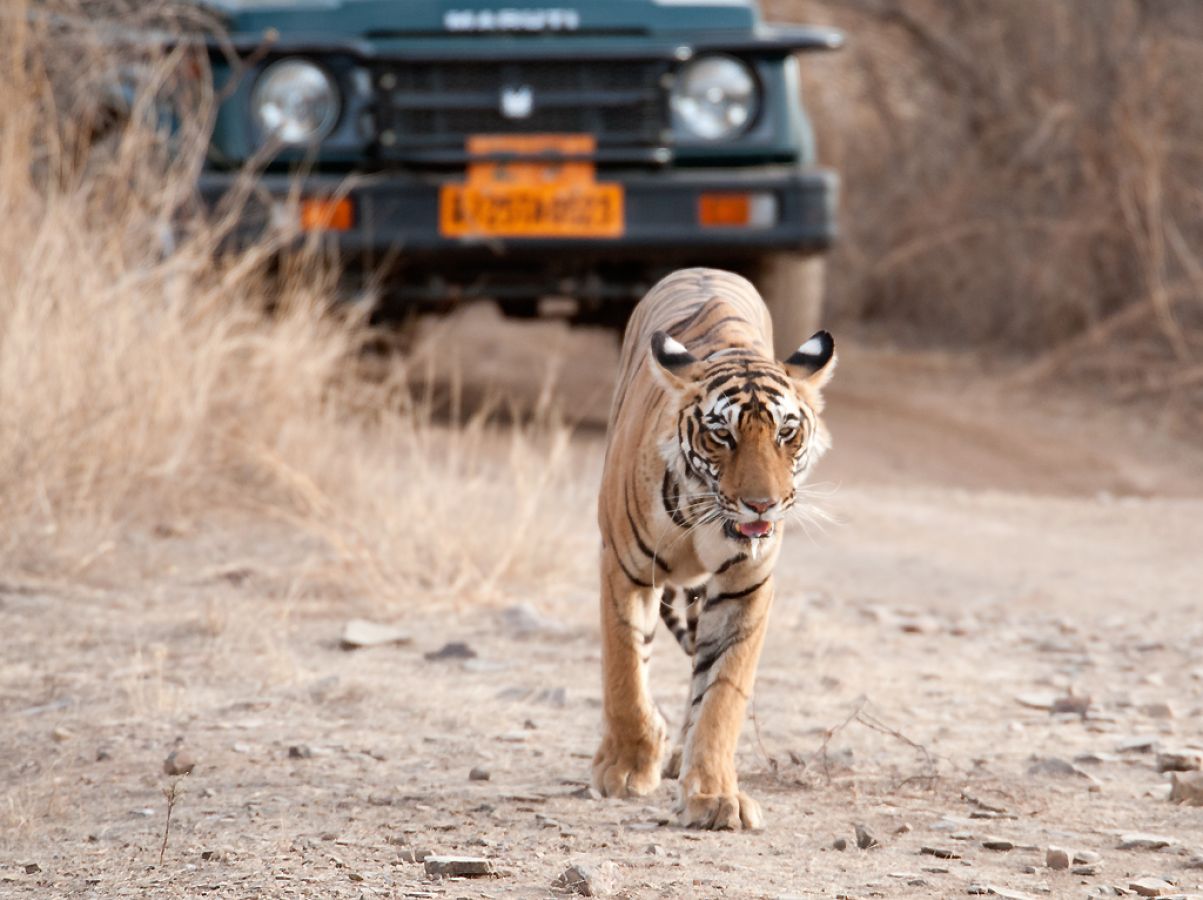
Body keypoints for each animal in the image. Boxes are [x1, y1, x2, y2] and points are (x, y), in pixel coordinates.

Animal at [591, 265, 837, 827]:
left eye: (786, 433)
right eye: (721, 435)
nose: (762, 505)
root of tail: (705, 268)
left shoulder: (746, 587)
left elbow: (722, 694)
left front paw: (712, 794)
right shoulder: (624, 570)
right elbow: (625, 673)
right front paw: (625, 767)